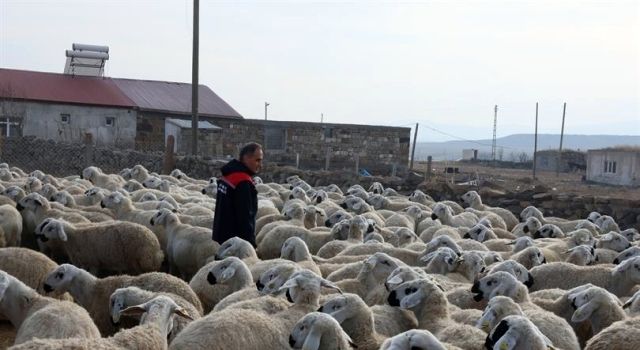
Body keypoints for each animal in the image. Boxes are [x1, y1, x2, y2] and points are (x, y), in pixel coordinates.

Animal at [35, 217, 165, 274]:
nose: (40, 236)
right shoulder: (82, 262)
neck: (74, 236)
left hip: (143, 262)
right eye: (47, 226)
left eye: (51, 228)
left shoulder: (93, 262)